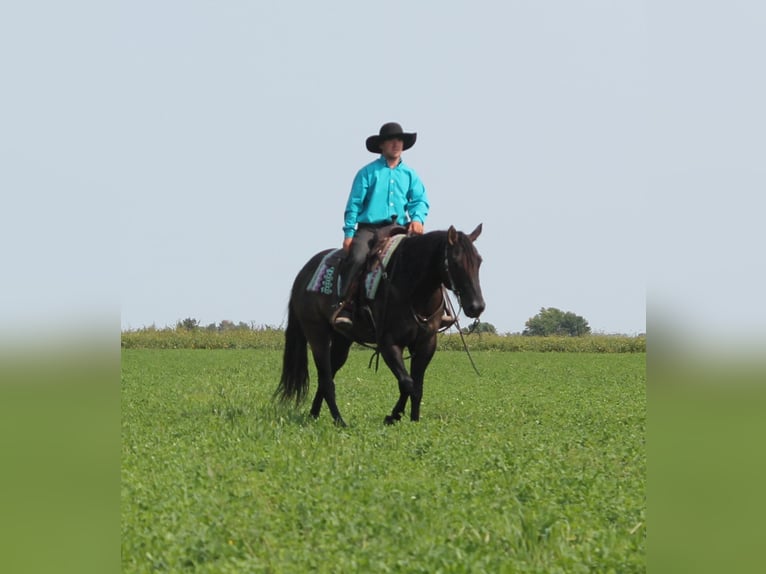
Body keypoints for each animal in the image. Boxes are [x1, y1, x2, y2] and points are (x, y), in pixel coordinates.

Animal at [274, 225, 486, 428]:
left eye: (479, 261)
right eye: (456, 262)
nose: (477, 306)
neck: (411, 288)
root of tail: (303, 273)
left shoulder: (426, 344)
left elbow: (416, 386)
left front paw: (412, 421)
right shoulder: (388, 344)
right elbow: (407, 383)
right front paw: (393, 417)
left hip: (342, 340)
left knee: (328, 376)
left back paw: (314, 415)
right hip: (317, 334)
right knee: (326, 380)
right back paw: (340, 422)